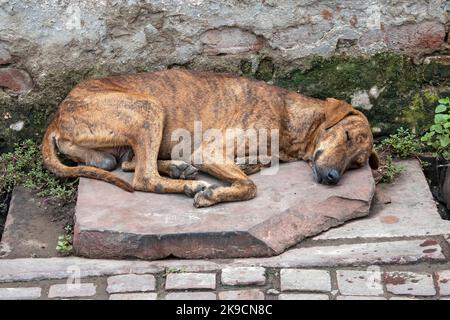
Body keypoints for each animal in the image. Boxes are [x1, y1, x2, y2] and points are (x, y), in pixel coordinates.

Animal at [43, 69, 380, 208]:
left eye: (358, 163)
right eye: (346, 136)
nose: (333, 177)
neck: (288, 115)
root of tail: (56, 116)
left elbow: (253, 168)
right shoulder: (208, 152)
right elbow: (249, 186)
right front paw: (214, 195)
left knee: (131, 165)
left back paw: (181, 170)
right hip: (149, 108)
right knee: (143, 177)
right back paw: (190, 184)